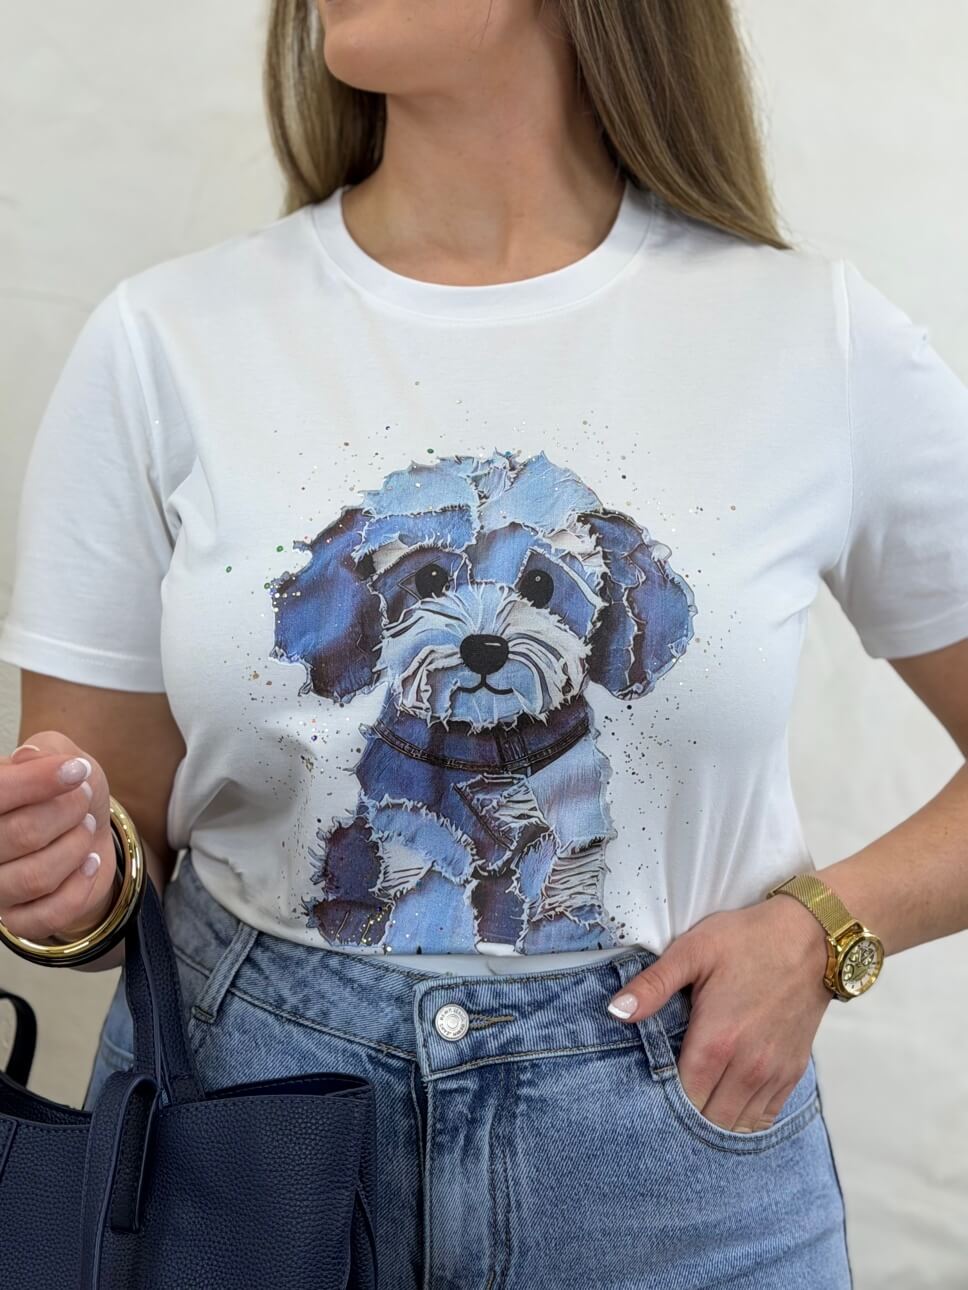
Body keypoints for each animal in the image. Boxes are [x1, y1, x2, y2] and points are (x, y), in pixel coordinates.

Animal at [269, 449, 696, 955]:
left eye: (541, 583)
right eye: (430, 577)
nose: (485, 649)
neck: (489, 742)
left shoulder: (571, 831)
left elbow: (561, 898)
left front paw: (572, 936)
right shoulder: (415, 830)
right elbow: (434, 901)